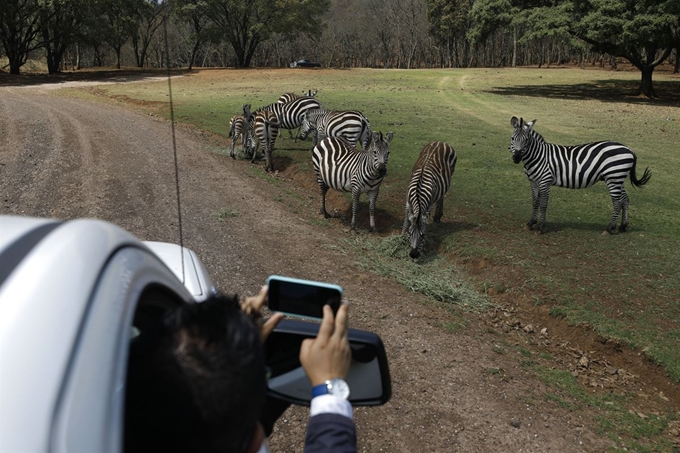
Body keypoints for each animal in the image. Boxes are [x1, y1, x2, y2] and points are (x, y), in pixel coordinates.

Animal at [512, 115, 652, 235]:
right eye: (513, 138)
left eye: (526, 140)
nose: (516, 158)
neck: (539, 156)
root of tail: (629, 149)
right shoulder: (533, 182)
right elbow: (535, 202)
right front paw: (531, 223)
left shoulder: (545, 181)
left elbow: (543, 204)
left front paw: (541, 227)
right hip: (617, 178)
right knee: (625, 199)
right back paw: (623, 226)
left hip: (613, 178)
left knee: (617, 202)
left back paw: (609, 228)